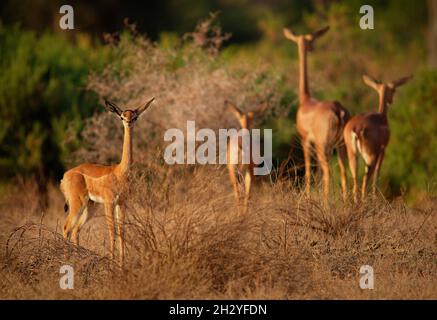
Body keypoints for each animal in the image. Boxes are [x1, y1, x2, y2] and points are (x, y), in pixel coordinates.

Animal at [59, 97, 155, 264]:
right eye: (122, 116)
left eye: (135, 116)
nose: (129, 122)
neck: (120, 172)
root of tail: (65, 176)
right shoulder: (109, 202)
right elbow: (112, 230)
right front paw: (112, 262)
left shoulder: (121, 203)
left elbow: (122, 230)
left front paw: (122, 264)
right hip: (78, 203)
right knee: (67, 227)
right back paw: (67, 261)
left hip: (91, 206)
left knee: (76, 229)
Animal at [282, 26, 350, 201]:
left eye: (310, 40)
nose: (311, 48)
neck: (305, 100)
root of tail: (338, 109)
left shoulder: (306, 141)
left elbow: (307, 171)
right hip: (340, 146)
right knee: (344, 172)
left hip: (323, 146)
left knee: (328, 173)